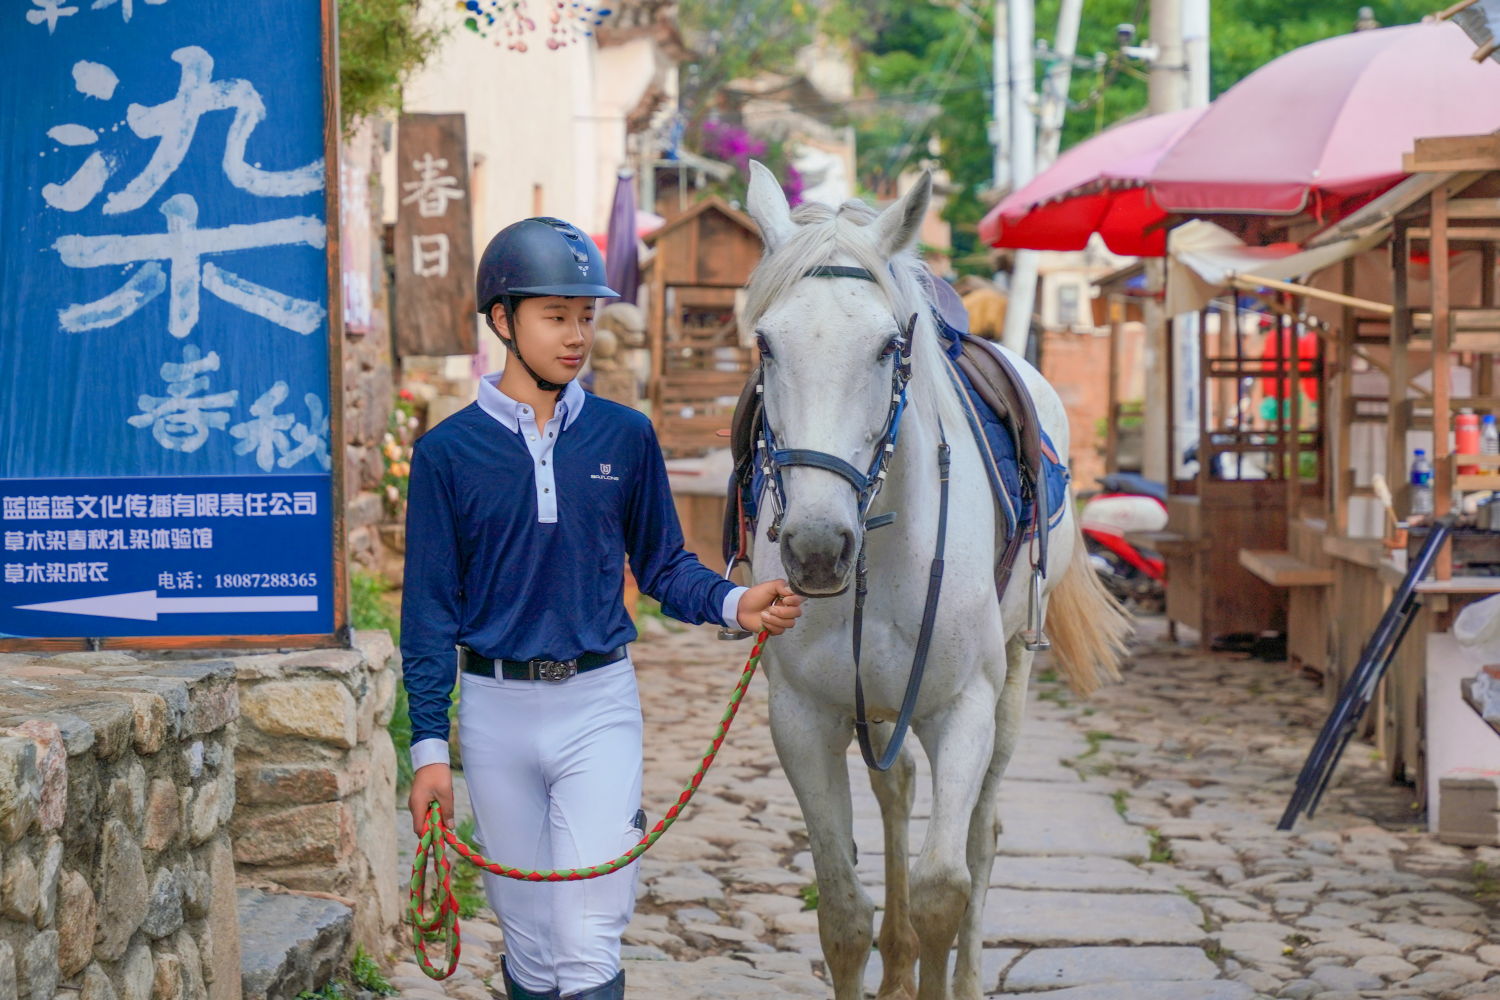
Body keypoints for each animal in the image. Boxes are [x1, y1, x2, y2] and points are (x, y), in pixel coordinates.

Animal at [744, 164, 1128, 1000]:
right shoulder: (802, 720)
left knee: (982, 833)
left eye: (890, 345)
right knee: (897, 794)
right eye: (764, 344)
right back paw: (897, 966)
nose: (815, 548)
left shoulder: (963, 710)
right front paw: (881, 954)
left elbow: (942, 891)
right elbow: (842, 914)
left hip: (1011, 680)